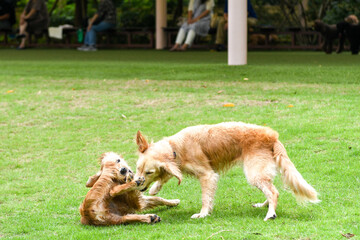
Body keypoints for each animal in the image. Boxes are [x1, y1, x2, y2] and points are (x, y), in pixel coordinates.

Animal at [134, 122, 320, 221]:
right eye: (137, 168)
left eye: (149, 172)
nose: (137, 183)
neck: (175, 148)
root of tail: (272, 136)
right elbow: (168, 175)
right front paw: (155, 188)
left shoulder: (208, 175)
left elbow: (205, 198)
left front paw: (203, 214)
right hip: (260, 173)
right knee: (272, 189)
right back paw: (264, 205)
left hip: (254, 174)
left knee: (274, 192)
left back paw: (271, 213)